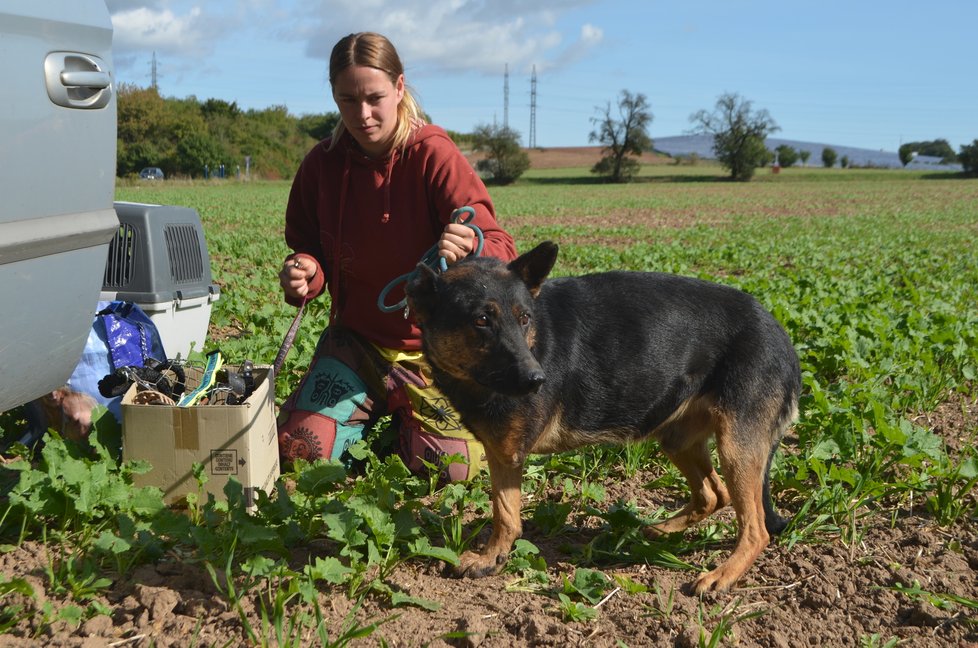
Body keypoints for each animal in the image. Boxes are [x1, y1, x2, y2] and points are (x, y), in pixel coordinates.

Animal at [404, 242, 800, 592]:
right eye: (481, 320)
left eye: (524, 319)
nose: (536, 380)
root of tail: (783, 336)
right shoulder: (500, 452)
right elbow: (507, 512)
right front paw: (495, 558)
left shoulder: (509, 454)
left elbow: (504, 515)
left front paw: (490, 557)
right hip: (676, 438)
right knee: (714, 494)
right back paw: (663, 530)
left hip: (736, 447)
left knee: (756, 529)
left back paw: (722, 575)